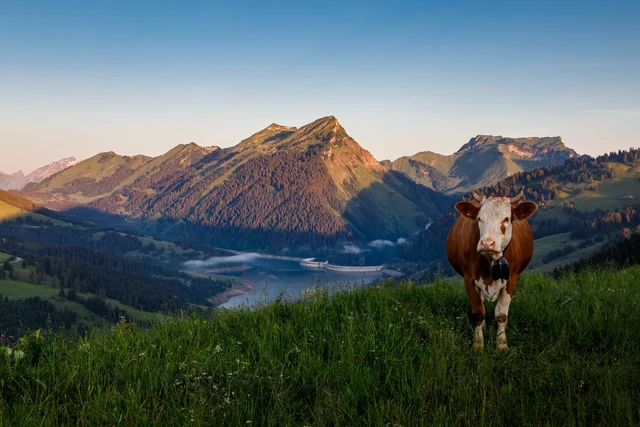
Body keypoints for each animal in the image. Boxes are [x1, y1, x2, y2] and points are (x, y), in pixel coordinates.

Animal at [446, 191, 537, 351]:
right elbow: (478, 312)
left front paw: (501, 344)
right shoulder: (469, 279)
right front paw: (478, 344)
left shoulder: (511, 279)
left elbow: (501, 314)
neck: (490, 259)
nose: (487, 243)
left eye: (506, 219)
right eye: (479, 218)